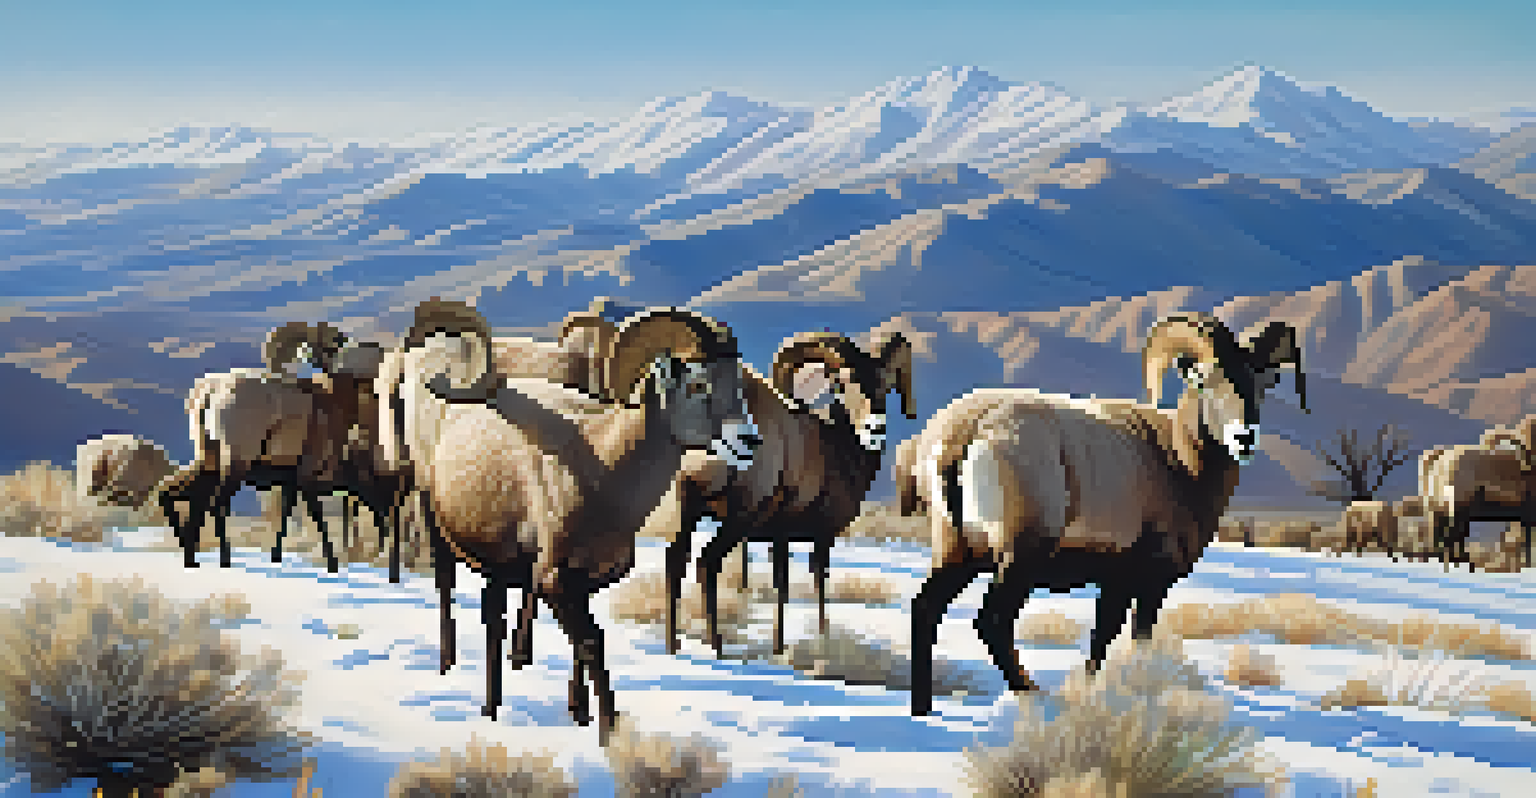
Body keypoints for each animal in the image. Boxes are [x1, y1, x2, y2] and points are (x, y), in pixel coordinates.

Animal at [377, 297, 761, 743]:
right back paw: (448, 670)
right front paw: (609, 731)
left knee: (493, 619)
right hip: (433, 513)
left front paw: (579, 715)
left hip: (497, 560)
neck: (601, 468)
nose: (749, 441)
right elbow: (592, 643)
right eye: (697, 385)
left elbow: (580, 648)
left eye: (737, 386)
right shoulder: (554, 583)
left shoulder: (584, 583)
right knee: (446, 586)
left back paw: (492, 707)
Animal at [655, 329, 914, 657]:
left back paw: (672, 645)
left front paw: (778, 647)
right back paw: (717, 648)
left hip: (688, 507)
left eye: (885, 384)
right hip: (738, 517)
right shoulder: (821, 535)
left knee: (676, 560)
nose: (874, 428)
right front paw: (819, 640)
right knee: (706, 563)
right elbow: (817, 582)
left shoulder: (779, 536)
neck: (839, 450)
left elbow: (781, 584)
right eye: (841, 385)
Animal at [895, 313, 1305, 716]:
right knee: (992, 621)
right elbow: (1133, 640)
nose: (1244, 437)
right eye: (1204, 379)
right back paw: (1036, 696)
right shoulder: (1146, 583)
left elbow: (1101, 639)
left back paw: (923, 711)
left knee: (926, 610)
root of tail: (967, 431)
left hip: (958, 554)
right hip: (1020, 558)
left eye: (1262, 383)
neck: (1178, 464)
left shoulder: (1115, 584)